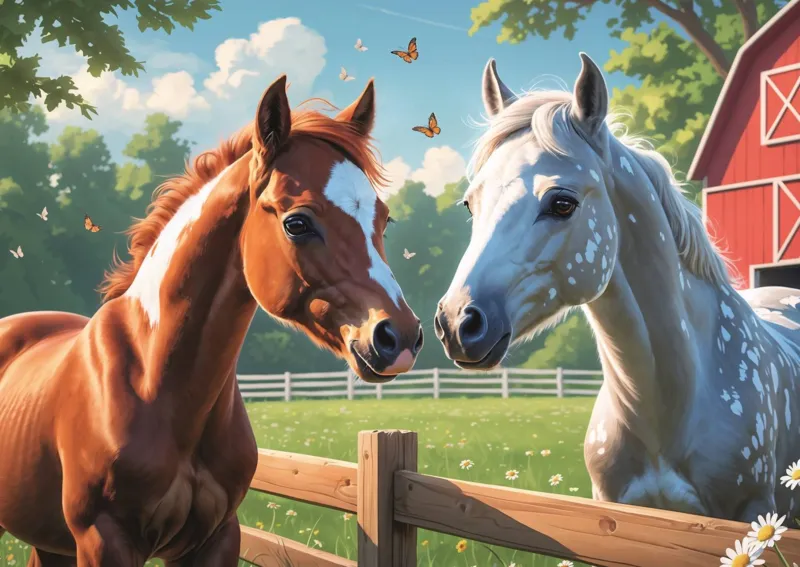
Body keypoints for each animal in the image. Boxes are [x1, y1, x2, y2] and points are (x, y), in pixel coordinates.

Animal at [0, 75, 423, 566]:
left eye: (384, 219)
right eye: (297, 223)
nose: (398, 337)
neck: (156, 382)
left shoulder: (216, 537)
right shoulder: (103, 540)